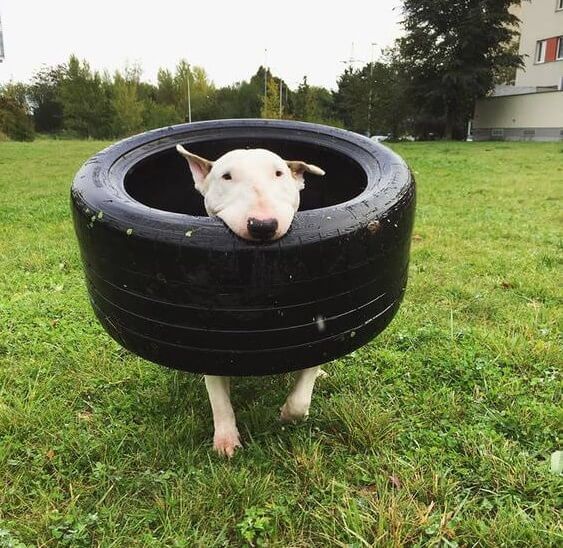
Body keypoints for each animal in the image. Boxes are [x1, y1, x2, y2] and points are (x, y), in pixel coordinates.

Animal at [176, 143, 326, 456]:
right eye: (226, 176)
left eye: (279, 173)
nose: (263, 225)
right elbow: (218, 396)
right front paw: (225, 440)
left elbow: (302, 394)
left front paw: (289, 413)